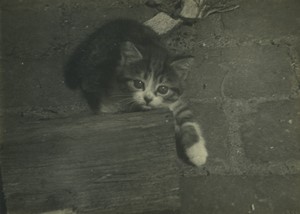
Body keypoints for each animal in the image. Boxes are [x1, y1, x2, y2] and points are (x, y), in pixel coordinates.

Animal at [64, 18, 207, 166]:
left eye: (163, 89)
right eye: (138, 84)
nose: (148, 98)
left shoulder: (175, 99)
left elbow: (186, 116)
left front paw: (197, 152)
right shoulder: (109, 100)